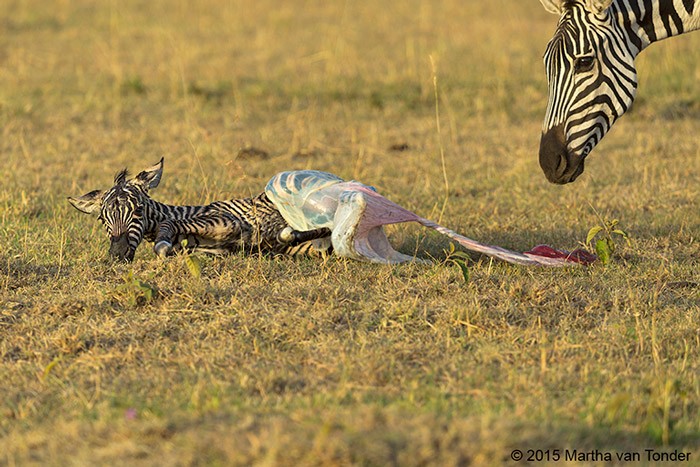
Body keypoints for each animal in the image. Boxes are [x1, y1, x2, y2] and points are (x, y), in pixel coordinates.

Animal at [68, 160, 330, 264]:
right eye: (102, 218)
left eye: (139, 210)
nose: (117, 255)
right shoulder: (219, 249)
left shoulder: (229, 221)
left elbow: (167, 232)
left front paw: (164, 243)